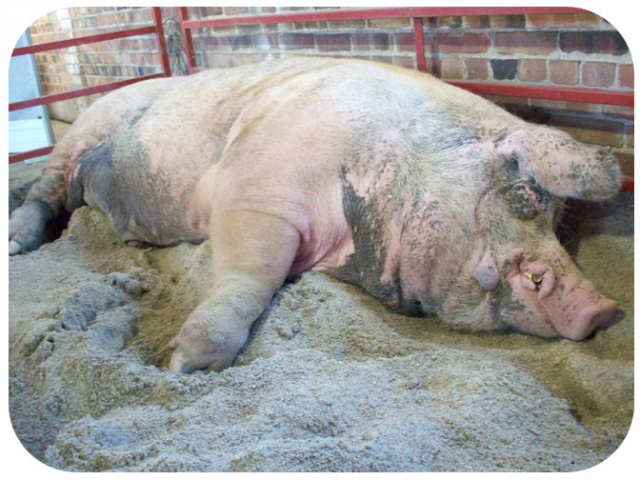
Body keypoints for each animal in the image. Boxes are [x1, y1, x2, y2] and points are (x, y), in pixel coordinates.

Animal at [9, 57, 621, 373]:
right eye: (523, 196)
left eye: (558, 219)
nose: (604, 309)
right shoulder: (254, 192)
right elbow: (250, 275)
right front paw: (180, 366)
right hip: (84, 134)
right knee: (42, 193)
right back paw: (16, 245)